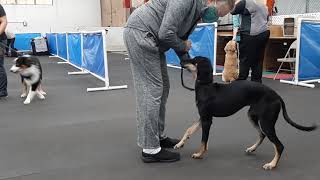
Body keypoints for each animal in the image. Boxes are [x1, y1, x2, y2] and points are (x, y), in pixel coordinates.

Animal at [176, 56, 316, 170]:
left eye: (193, 60)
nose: (181, 60)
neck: (205, 87)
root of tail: (276, 96)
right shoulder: (203, 117)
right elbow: (189, 130)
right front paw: (179, 144)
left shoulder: (207, 120)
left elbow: (203, 141)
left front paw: (199, 154)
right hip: (252, 116)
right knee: (262, 135)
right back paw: (252, 148)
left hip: (266, 122)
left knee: (279, 146)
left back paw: (272, 164)